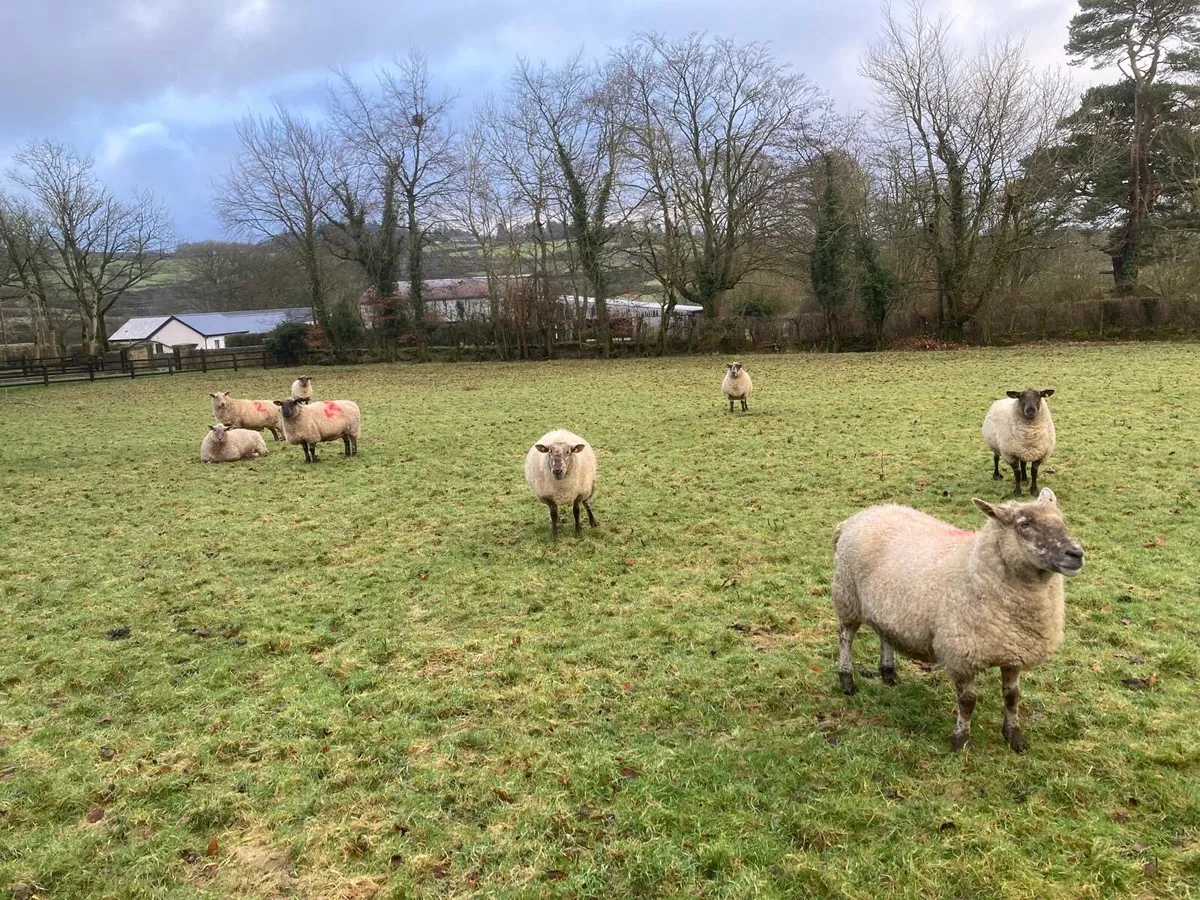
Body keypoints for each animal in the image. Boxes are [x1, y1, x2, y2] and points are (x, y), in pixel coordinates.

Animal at [831, 488, 1084, 753]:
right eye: (1024, 524)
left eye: (1063, 520)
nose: (1076, 554)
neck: (975, 569)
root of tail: (858, 517)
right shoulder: (962, 653)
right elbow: (967, 701)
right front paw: (961, 740)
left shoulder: (1014, 650)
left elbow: (1012, 697)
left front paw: (1014, 737)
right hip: (847, 596)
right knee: (845, 638)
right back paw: (847, 680)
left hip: (887, 605)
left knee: (884, 633)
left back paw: (888, 673)